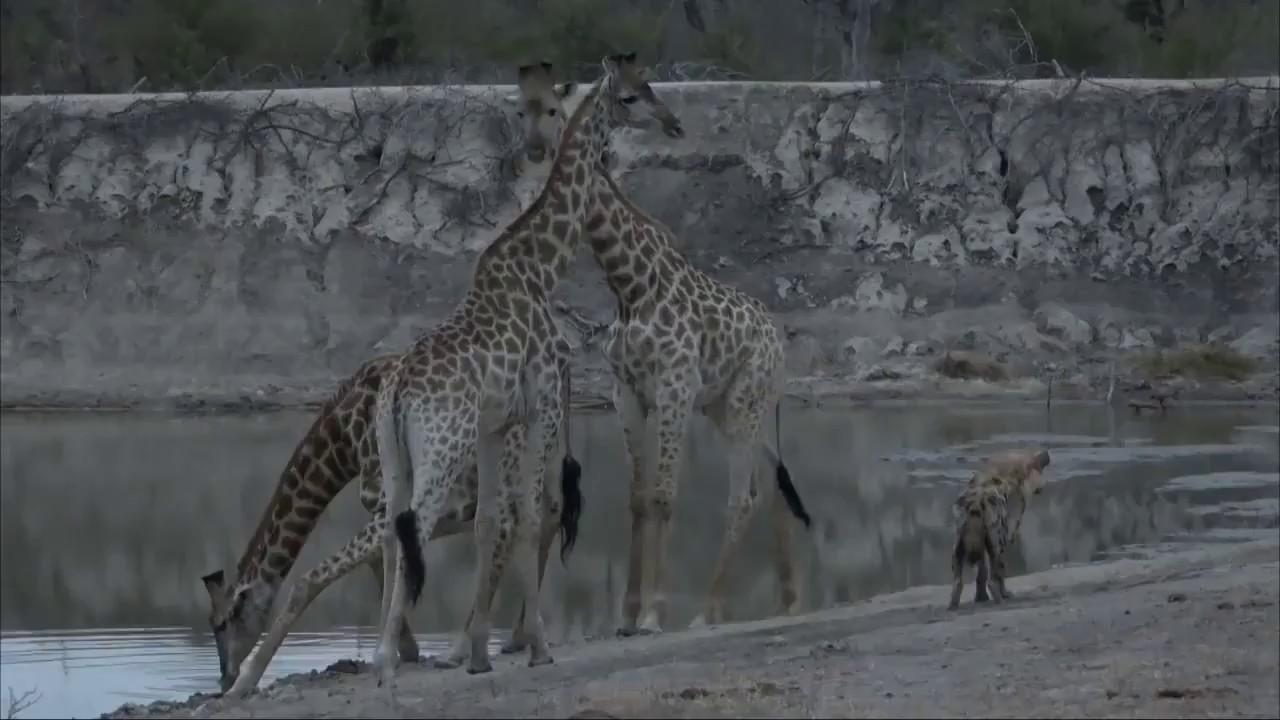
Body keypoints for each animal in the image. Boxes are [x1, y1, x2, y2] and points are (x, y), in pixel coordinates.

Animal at [200, 350, 583, 696]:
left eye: (221, 624)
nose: (224, 678)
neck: (343, 441)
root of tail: (563, 372)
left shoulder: (391, 505)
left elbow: (309, 581)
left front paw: (247, 683)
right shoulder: (404, 510)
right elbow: (381, 563)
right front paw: (404, 649)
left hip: (514, 462)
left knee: (515, 526)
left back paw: (468, 649)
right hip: (538, 459)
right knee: (542, 518)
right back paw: (514, 638)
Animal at [371, 54, 685, 689]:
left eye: (649, 85)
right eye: (632, 96)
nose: (673, 123)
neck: (541, 268)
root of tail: (396, 394)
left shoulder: (497, 425)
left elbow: (493, 522)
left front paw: (480, 655)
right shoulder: (540, 404)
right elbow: (535, 514)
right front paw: (538, 646)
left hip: (396, 456)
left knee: (392, 532)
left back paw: (384, 658)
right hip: (441, 448)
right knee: (414, 526)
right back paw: (388, 663)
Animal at [512, 61, 812, 636]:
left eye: (555, 107)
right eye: (523, 107)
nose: (535, 150)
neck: (630, 284)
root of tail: (779, 343)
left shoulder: (674, 388)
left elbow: (665, 497)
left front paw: (653, 613)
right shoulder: (626, 393)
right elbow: (637, 500)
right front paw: (626, 616)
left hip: (742, 403)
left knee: (743, 494)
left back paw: (707, 611)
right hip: (730, 407)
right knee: (772, 481)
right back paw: (786, 602)